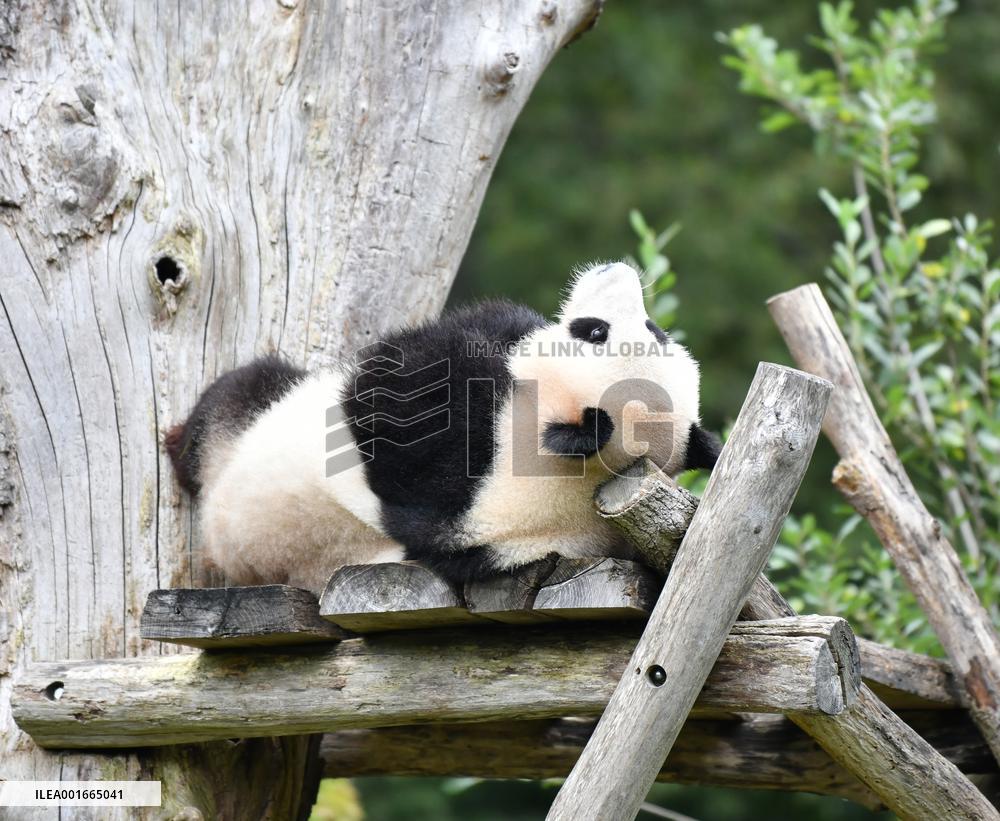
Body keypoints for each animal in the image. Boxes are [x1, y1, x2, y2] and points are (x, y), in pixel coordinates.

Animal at [165, 261, 721, 591]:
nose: (617, 268)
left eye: (593, 332)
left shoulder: (463, 464)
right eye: (657, 329)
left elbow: (396, 385)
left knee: (237, 391)